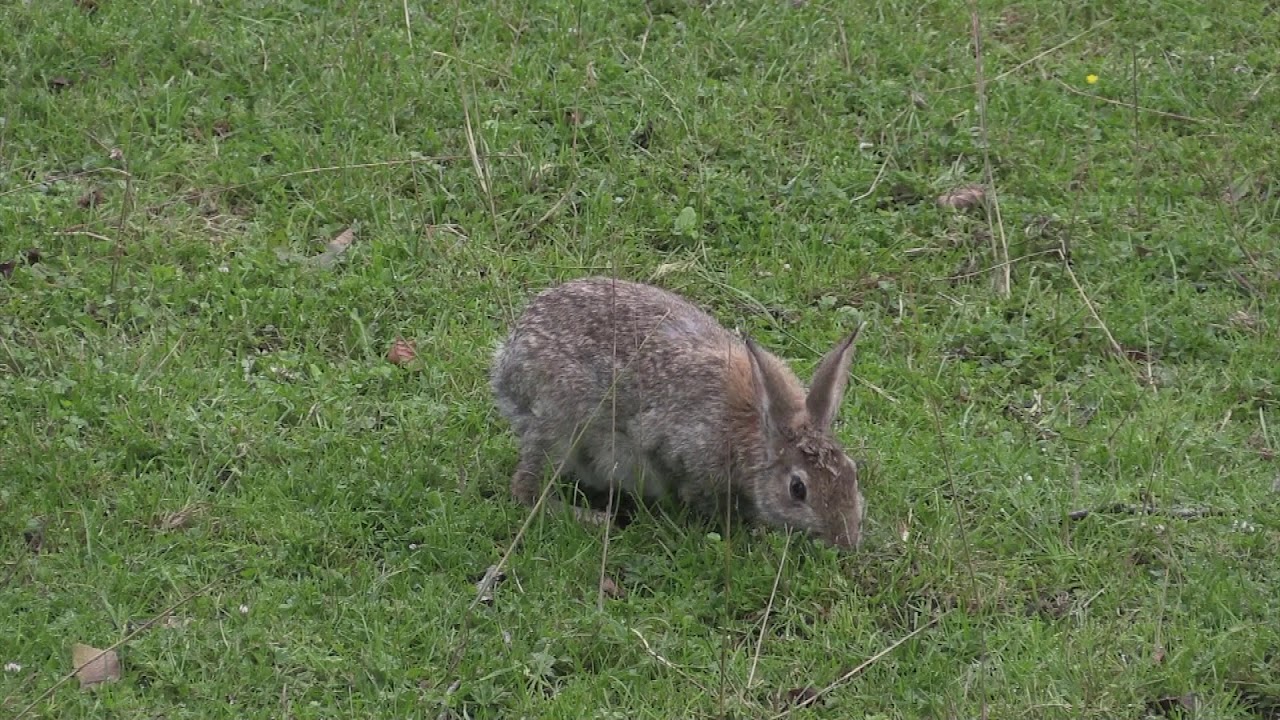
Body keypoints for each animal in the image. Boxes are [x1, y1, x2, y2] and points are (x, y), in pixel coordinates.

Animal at [489, 276, 866, 549]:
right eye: (798, 489)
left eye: (852, 472)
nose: (845, 540)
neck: (755, 433)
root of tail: (508, 358)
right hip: (559, 426)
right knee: (526, 488)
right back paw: (593, 518)